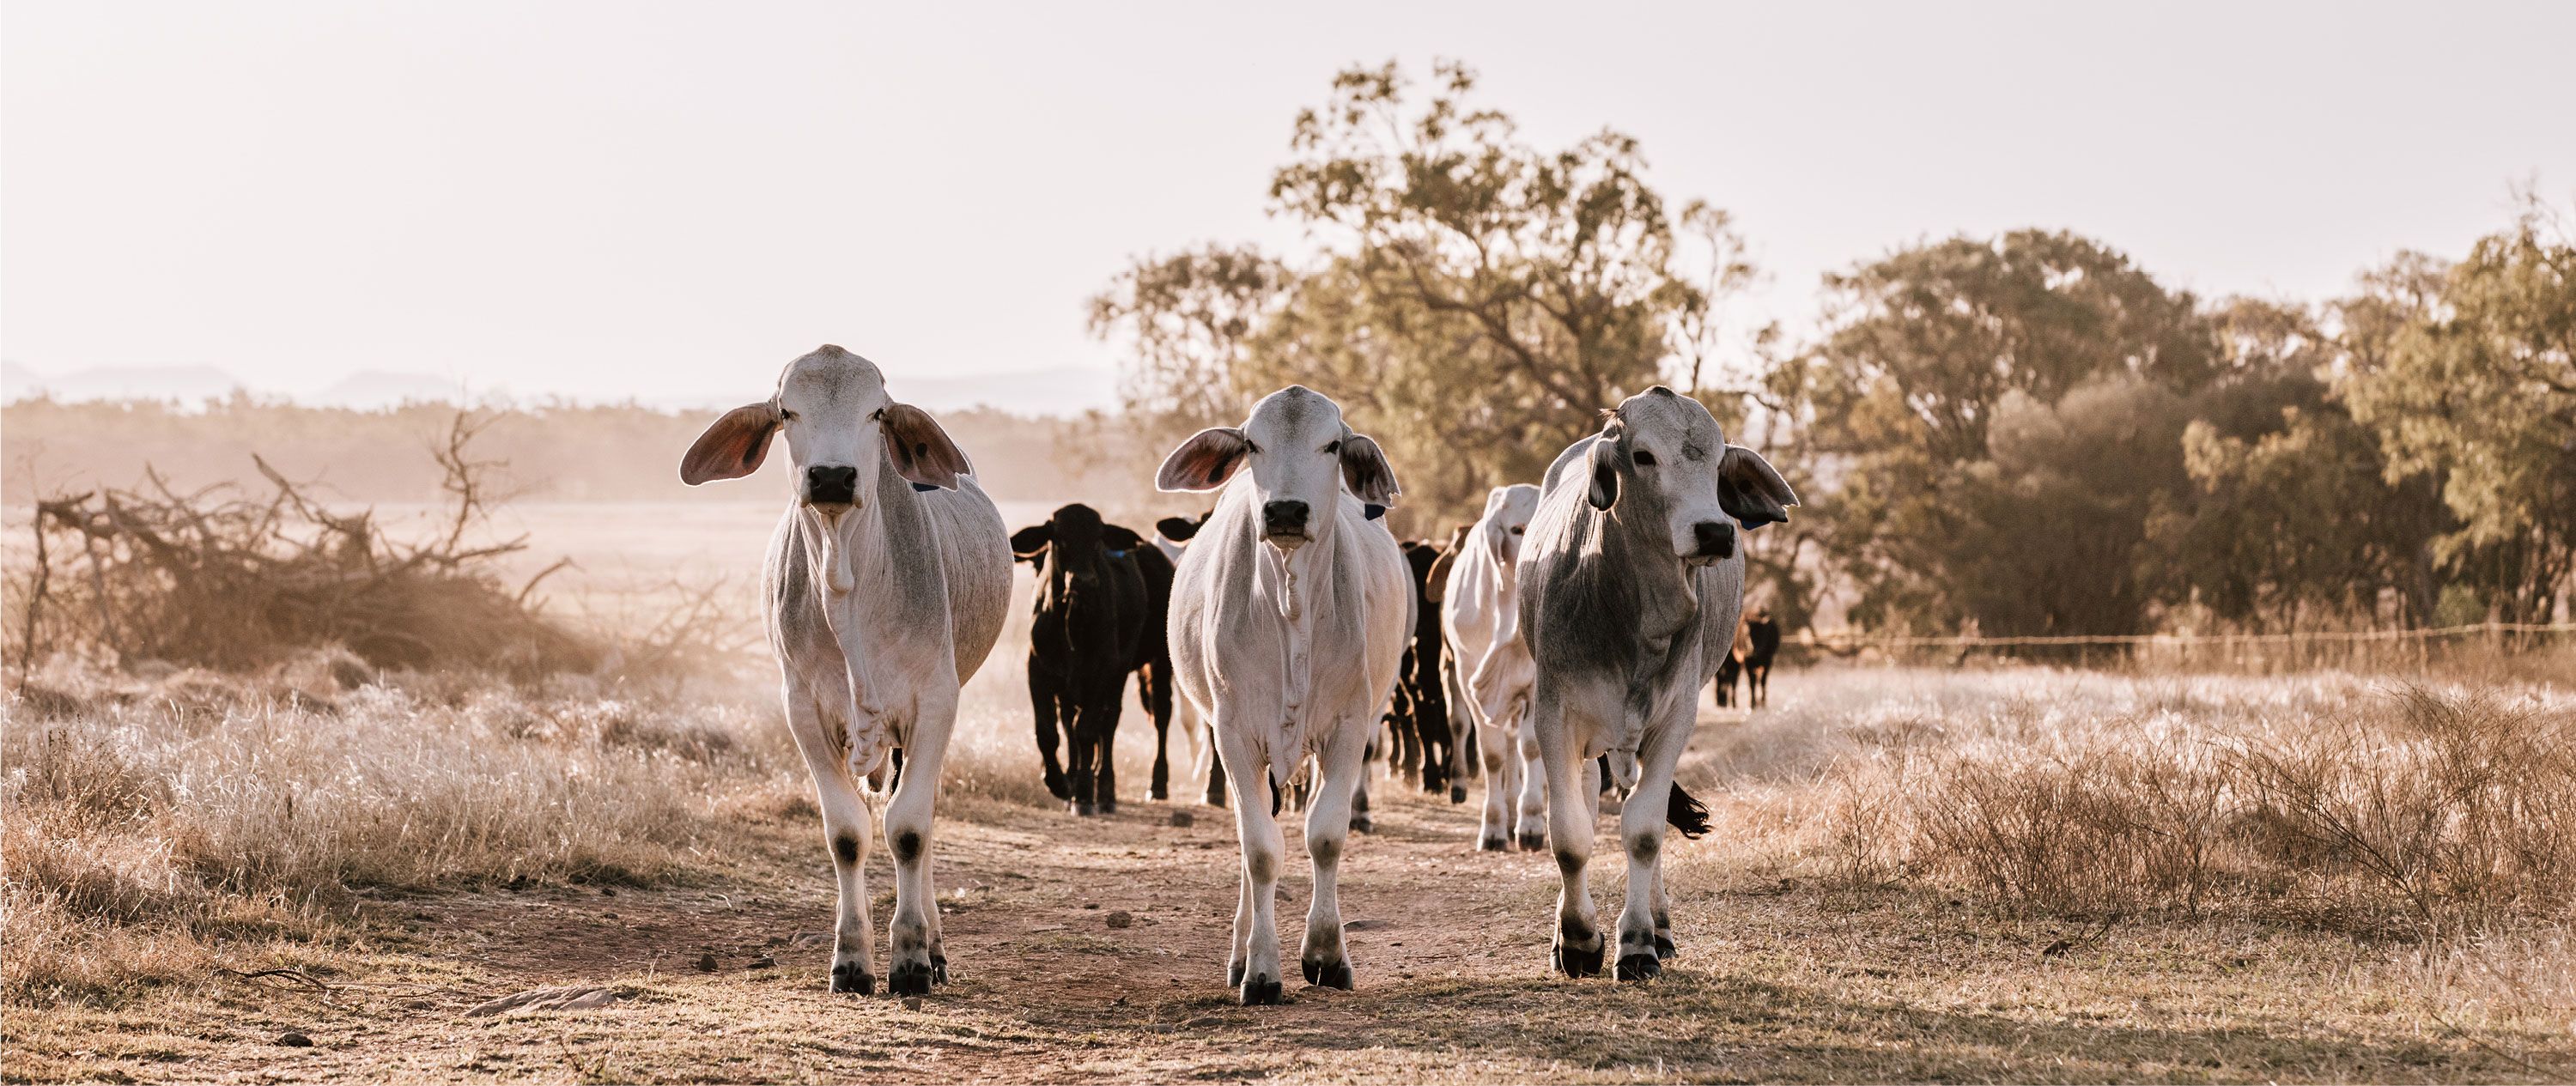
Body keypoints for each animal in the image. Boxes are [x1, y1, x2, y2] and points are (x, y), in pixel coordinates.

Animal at [680, 344, 1010, 998]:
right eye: (787, 410)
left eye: (876, 412)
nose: (831, 476)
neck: (847, 585)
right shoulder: (803, 710)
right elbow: (847, 833)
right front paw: (852, 960)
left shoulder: (937, 701)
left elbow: (909, 829)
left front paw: (911, 960)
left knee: (922, 816)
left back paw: (935, 948)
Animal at [1005, 504, 1180, 808]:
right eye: (1059, 538)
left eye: (1098, 539)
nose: (1084, 582)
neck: (1075, 619)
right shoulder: (1038, 669)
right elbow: (1049, 732)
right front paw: (1060, 782)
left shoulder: (1103, 670)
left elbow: (1086, 730)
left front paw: (1085, 792)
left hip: (1154, 661)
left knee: (1149, 716)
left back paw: (1136, 786)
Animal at [1504, 385, 1793, 978]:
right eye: (1642, 456)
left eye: (1716, 461)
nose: (1715, 531)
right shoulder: (1555, 716)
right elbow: (1570, 835)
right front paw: (1577, 941)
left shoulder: (1674, 717)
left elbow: (1644, 830)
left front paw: (1637, 943)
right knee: (1587, 801)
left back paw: (1659, 927)